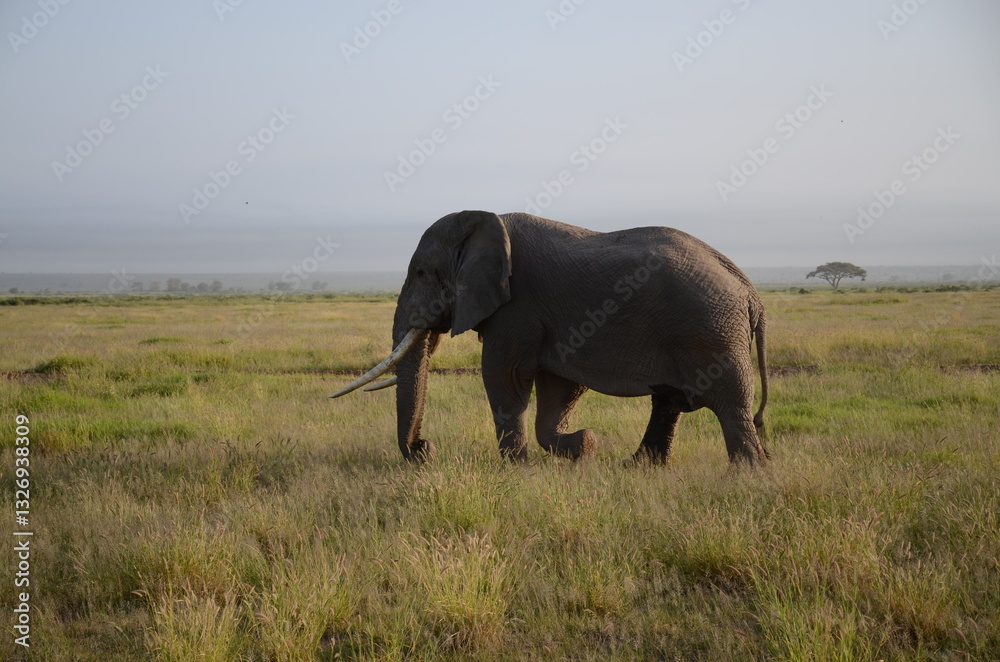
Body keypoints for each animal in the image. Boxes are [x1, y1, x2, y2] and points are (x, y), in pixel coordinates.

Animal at [331, 210, 769, 466]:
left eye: (421, 273)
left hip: (711, 331)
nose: (424, 449)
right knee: (670, 399)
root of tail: (750, 291)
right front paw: (583, 446)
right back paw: (639, 467)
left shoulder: (517, 305)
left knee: (729, 404)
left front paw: (514, 466)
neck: (484, 223)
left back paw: (748, 473)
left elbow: (504, 375)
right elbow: (559, 385)